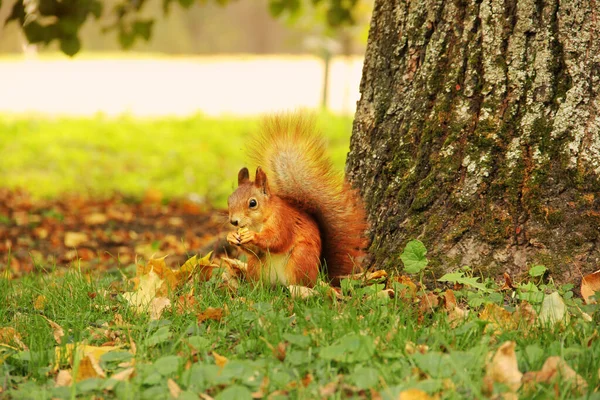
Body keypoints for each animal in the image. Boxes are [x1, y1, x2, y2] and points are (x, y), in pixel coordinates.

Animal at [227, 113, 368, 288]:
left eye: (253, 203)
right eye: (229, 200)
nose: (233, 221)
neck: (258, 222)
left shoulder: (283, 220)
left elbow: (277, 239)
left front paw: (252, 236)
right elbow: (255, 250)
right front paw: (231, 236)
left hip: (301, 257)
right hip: (255, 265)